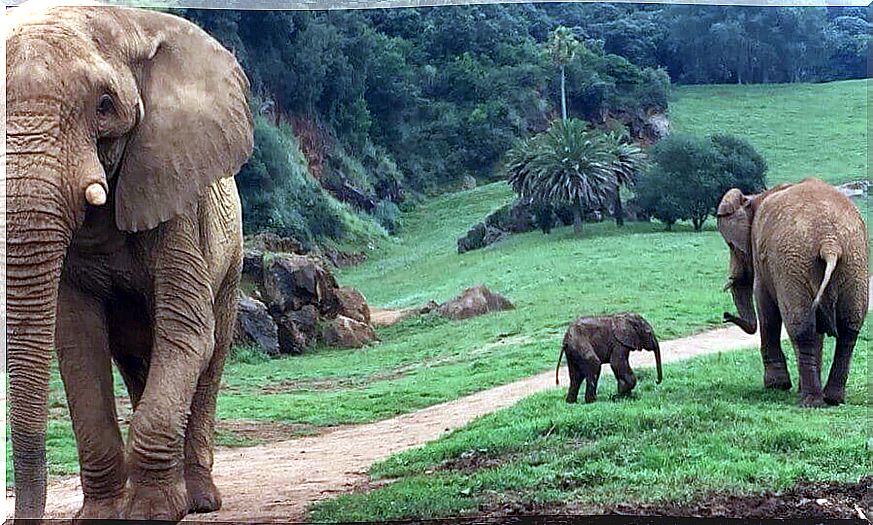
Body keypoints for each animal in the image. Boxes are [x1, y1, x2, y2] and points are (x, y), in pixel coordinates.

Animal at [5, 3, 252, 520]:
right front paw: (102, 516)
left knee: (210, 356)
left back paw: (200, 500)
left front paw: (154, 512)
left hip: (233, 262)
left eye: (104, 106)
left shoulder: (176, 199)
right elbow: (78, 340)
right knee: (140, 360)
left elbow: (186, 330)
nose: (15, 518)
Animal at [716, 178, 864, 408]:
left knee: (801, 326)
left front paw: (776, 386)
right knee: (848, 329)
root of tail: (829, 243)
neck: (754, 198)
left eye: (732, 246)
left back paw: (810, 402)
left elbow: (766, 310)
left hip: (793, 265)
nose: (725, 315)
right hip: (853, 263)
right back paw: (832, 399)